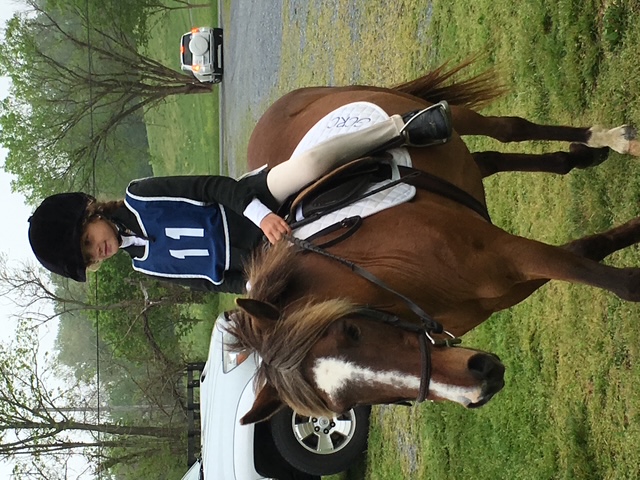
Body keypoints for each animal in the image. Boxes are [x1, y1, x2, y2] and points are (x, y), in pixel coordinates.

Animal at [228, 58, 640, 425]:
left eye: (351, 330)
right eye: (347, 407)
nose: (483, 382)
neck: (402, 274)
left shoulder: (512, 255)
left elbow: (616, 282)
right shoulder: (508, 283)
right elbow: (585, 252)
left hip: (441, 114)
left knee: (508, 128)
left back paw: (612, 140)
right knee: (491, 158)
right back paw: (581, 156)